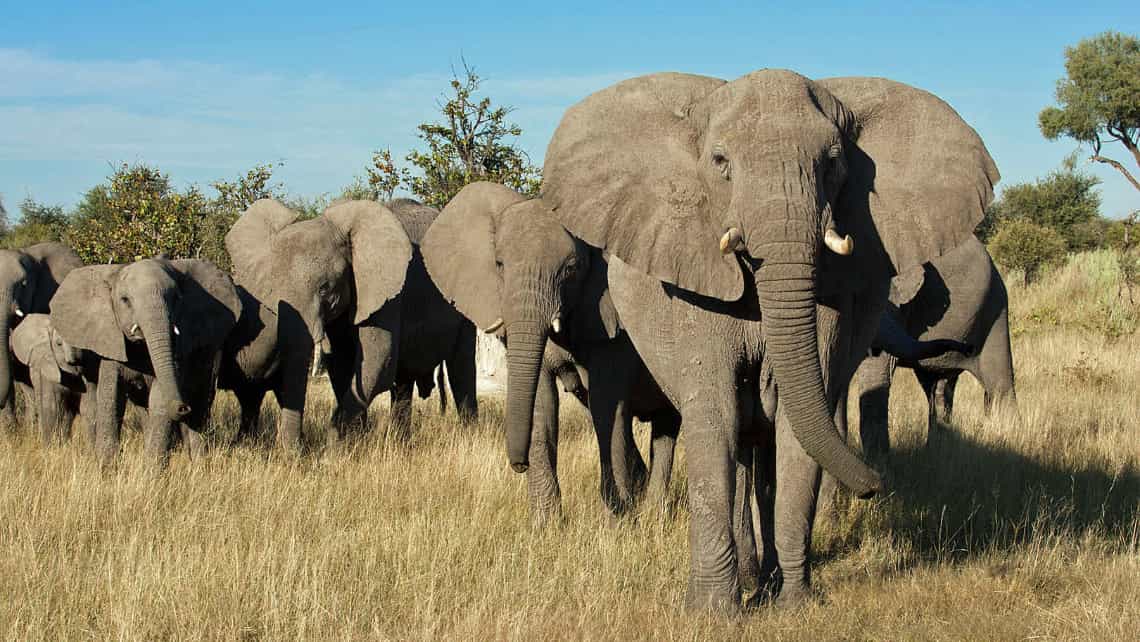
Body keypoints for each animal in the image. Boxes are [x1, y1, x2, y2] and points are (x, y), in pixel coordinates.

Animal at [49, 256, 240, 467]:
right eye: (124, 300)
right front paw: (107, 469)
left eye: (176, 299)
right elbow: (111, 397)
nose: (182, 407)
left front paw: (152, 472)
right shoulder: (112, 341)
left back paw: (198, 465)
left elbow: (159, 400)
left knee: (199, 405)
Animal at [426, 182, 674, 522]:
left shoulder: (614, 326)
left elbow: (607, 405)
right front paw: (546, 524)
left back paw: (652, 514)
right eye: (499, 264)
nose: (518, 464)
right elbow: (541, 401)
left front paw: (619, 523)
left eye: (572, 268)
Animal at [542, 71, 998, 611]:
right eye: (720, 162)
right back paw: (747, 577)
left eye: (833, 161)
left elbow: (796, 428)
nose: (874, 487)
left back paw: (765, 578)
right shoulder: (695, 286)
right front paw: (714, 613)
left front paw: (795, 604)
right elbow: (715, 415)